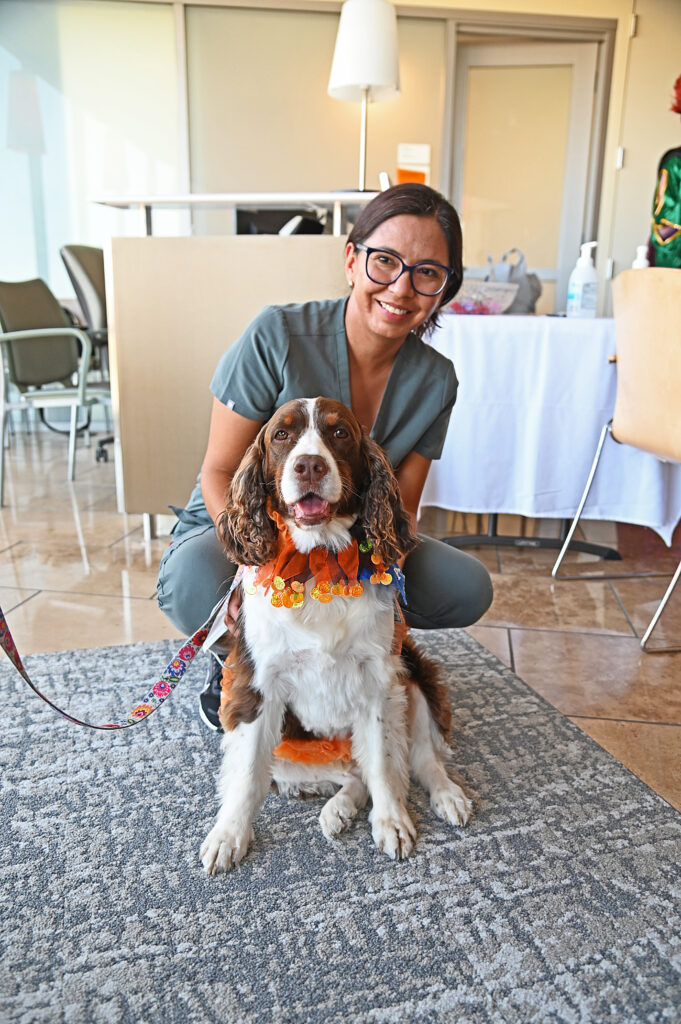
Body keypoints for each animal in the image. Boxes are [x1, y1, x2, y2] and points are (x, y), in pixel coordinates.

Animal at [199, 395, 471, 876]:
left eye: (339, 432)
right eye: (282, 434)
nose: (309, 465)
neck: (316, 562)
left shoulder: (379, 679)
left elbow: (382, 762)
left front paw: (391, 821)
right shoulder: (256, 685)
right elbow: (247, 775)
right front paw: (229, 835)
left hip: (412, 678)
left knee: (417, 760)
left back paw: (446, 795)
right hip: (288, 750)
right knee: (349, 773)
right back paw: (338, 809)